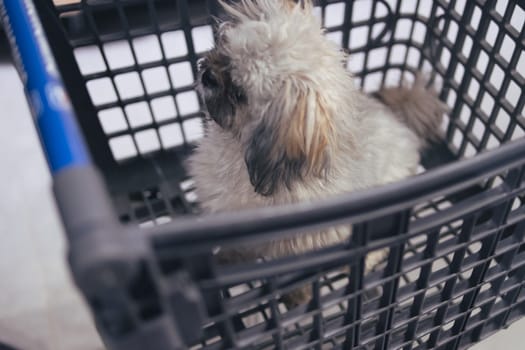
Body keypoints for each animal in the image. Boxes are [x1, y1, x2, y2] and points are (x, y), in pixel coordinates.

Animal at [187, 0, 442, 306]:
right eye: (225, 51)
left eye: (240, 93)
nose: (208, 74)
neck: (237, 151)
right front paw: (224, 261)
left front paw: (298, 295)